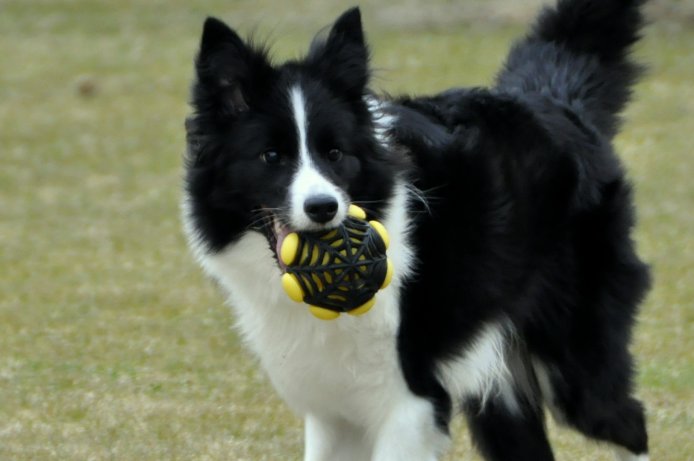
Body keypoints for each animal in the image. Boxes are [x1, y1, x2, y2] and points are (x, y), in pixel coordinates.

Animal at [184, 1, 652, 458]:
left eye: (335, 153)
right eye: (271, 156)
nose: (323, 208)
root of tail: (552, 101)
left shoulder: (409, 401)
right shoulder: (332, 405)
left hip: (575, 360)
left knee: (628, 421)